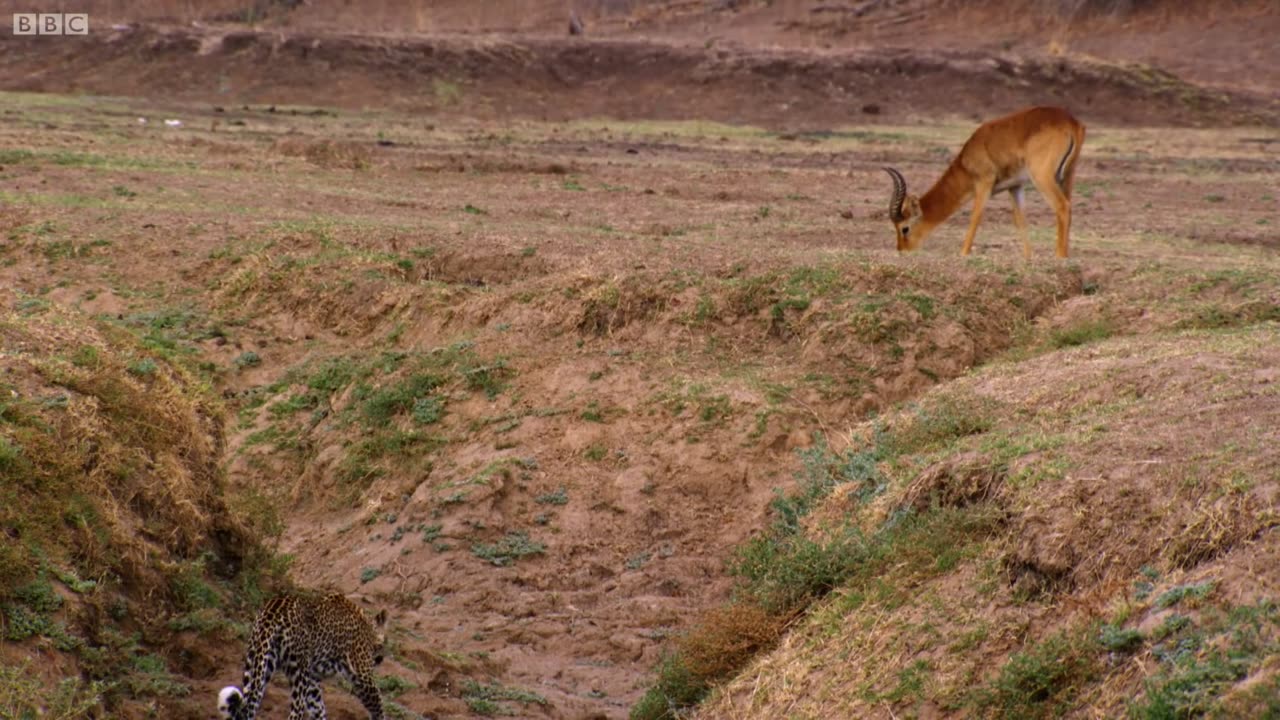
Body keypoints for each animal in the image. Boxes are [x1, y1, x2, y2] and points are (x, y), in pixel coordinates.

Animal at [217, 591, 386, 712]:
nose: (380, 659)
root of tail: (271, 614)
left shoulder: (313, 681)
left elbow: (319, 710)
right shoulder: (362, 674)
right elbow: (378, 705)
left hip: (258, 665)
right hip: (299, 676)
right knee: (295, 713)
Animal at [885, 106, 1085, 257]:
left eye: (904, 228)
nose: (902, 250)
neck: (967, 159)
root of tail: (1071, 122)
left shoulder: (984, 184)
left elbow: (976, 216)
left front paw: (963, 253)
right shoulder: (1015, 186)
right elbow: (1020, 219)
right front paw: (1028, 257)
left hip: (1042, 178)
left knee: (1062, 206)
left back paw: (1059, 256)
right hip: (1067, 176)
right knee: (1068, 208)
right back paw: (1065, 254)